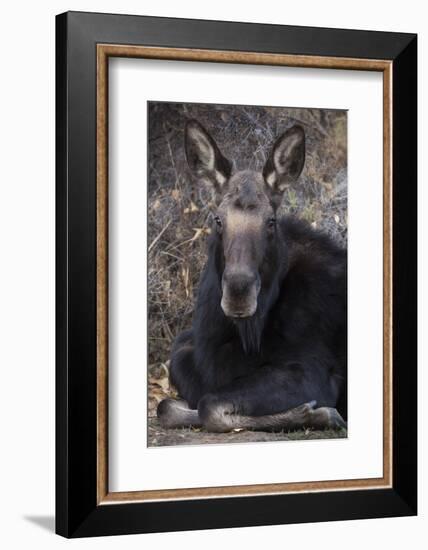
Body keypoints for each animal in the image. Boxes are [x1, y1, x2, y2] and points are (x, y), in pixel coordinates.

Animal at [157, 121, 348, 436]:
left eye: (271, 221)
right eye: (218, 220)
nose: (238, 293)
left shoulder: (315, 372)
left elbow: (210, 406)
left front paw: (315, 414)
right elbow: (167, 406)